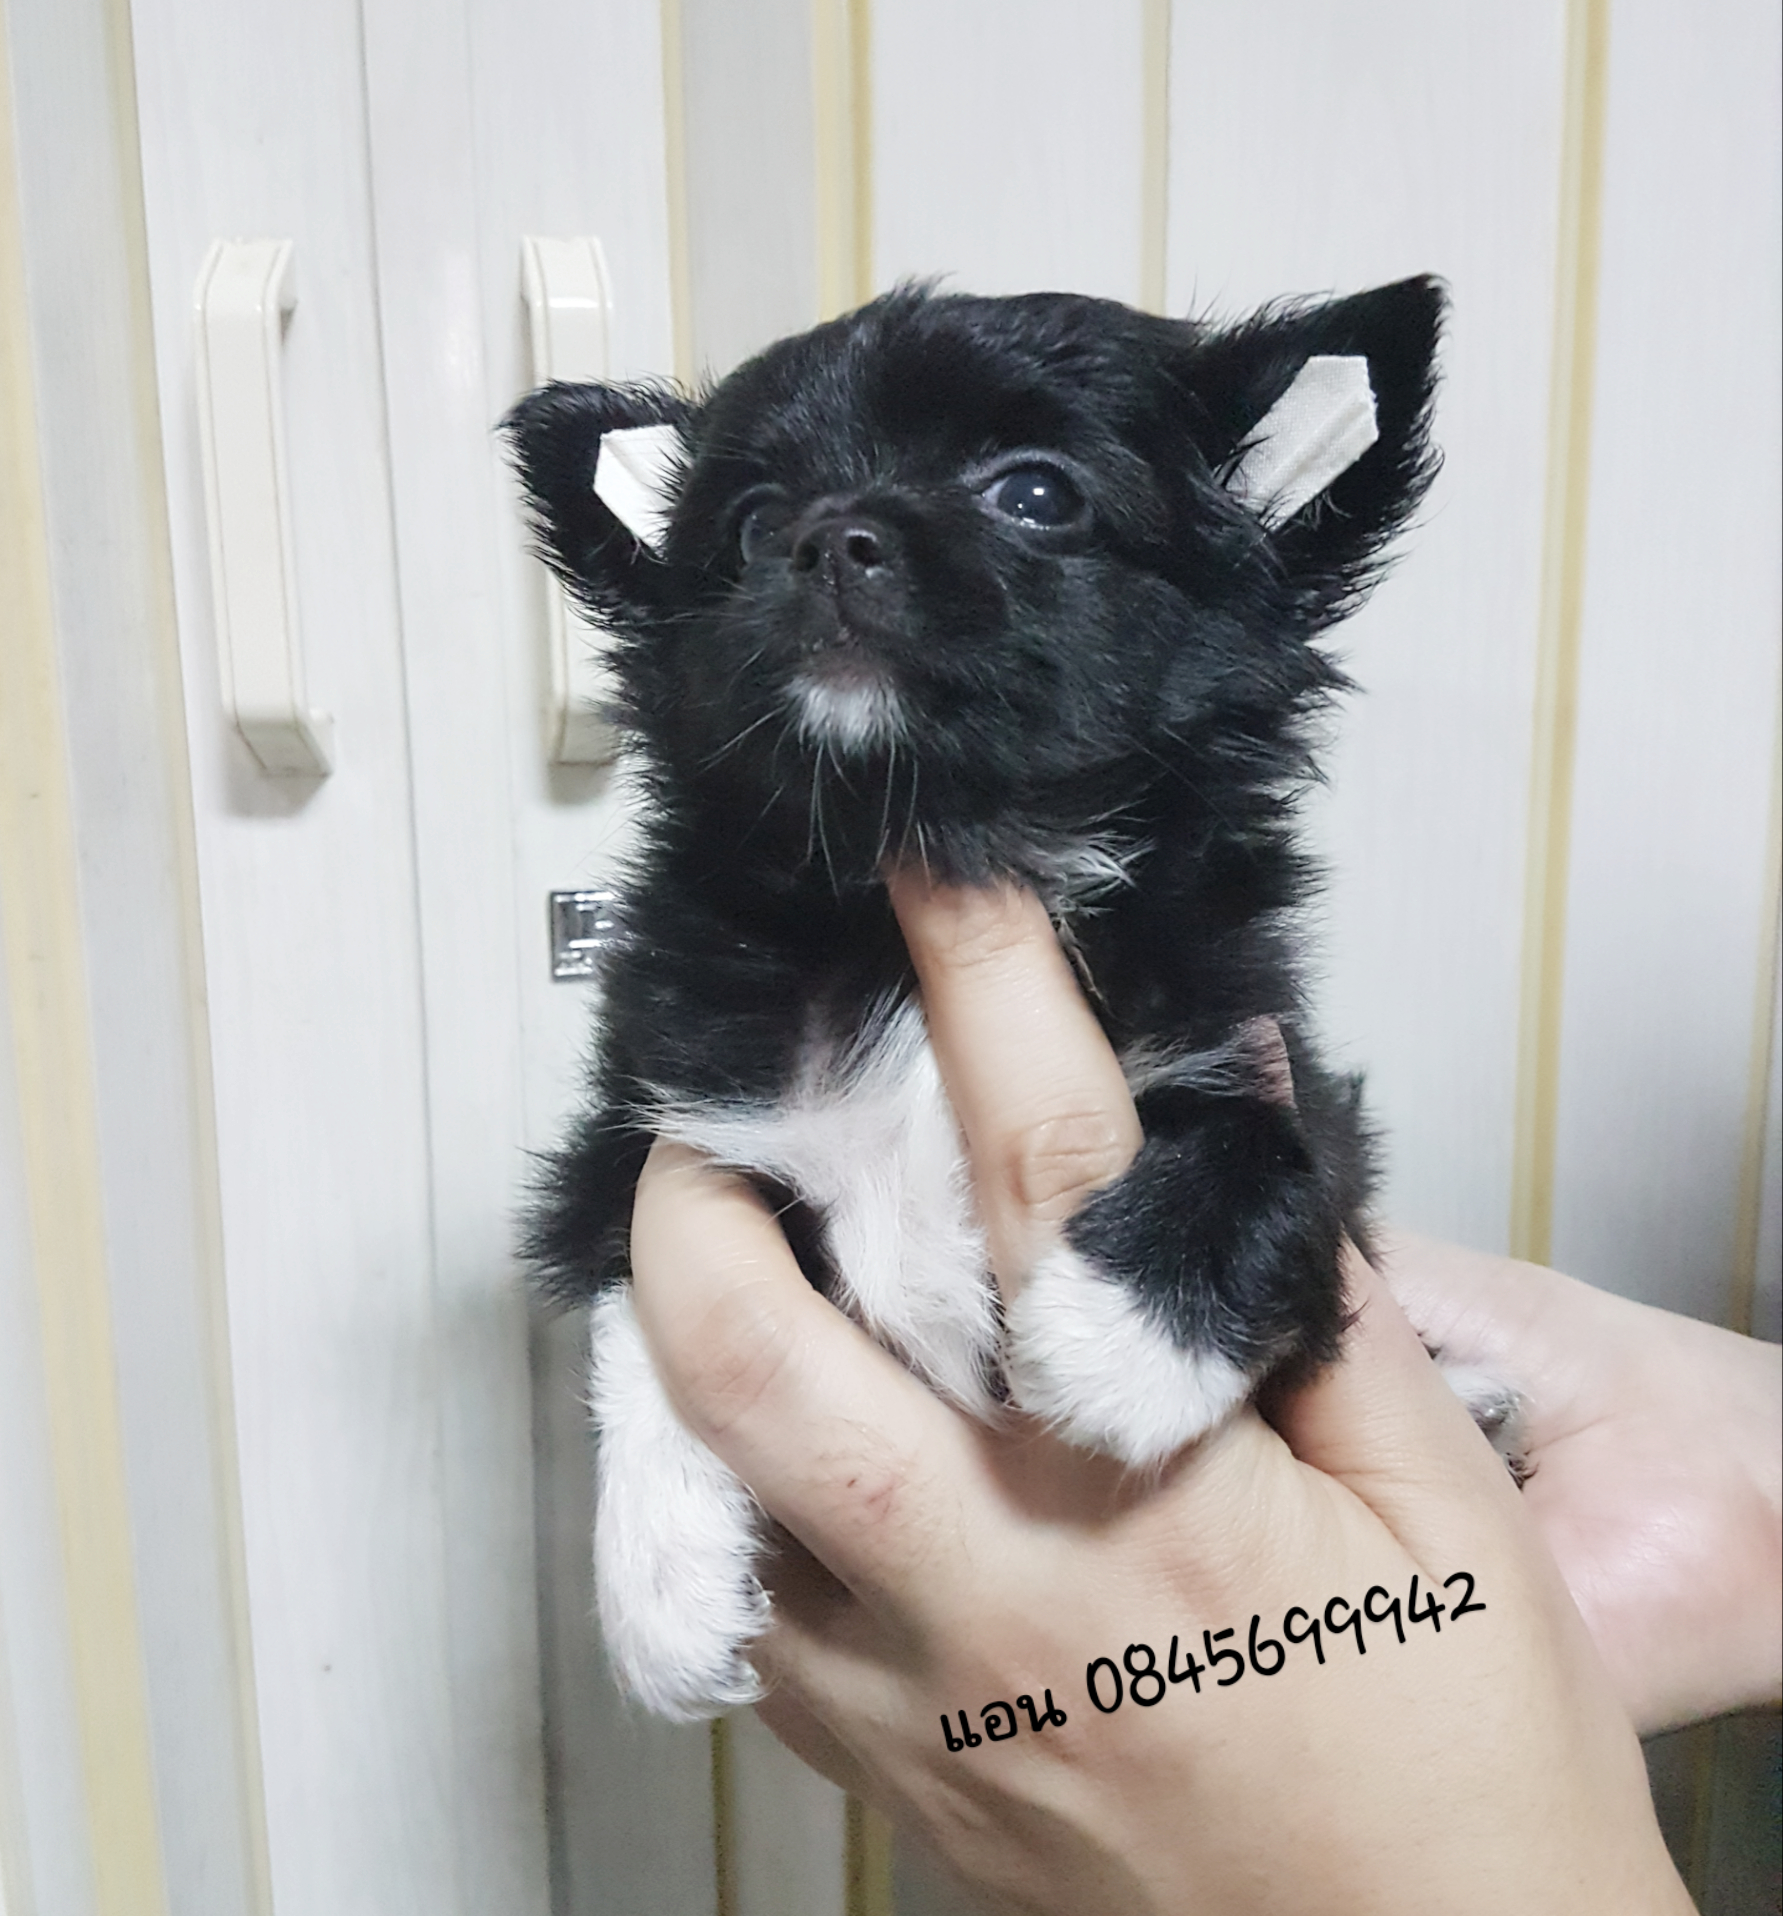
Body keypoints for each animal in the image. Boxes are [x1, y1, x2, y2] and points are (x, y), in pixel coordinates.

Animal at [506, 277, 1450, 1720]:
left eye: (1036, 494)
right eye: (748, 524)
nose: (826, 539)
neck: (913, 879)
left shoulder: (1254, 1051)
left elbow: (1277, 1150)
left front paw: (1126, 1337)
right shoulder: (664, 1124)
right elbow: (634, 1308)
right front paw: (658, 1587)